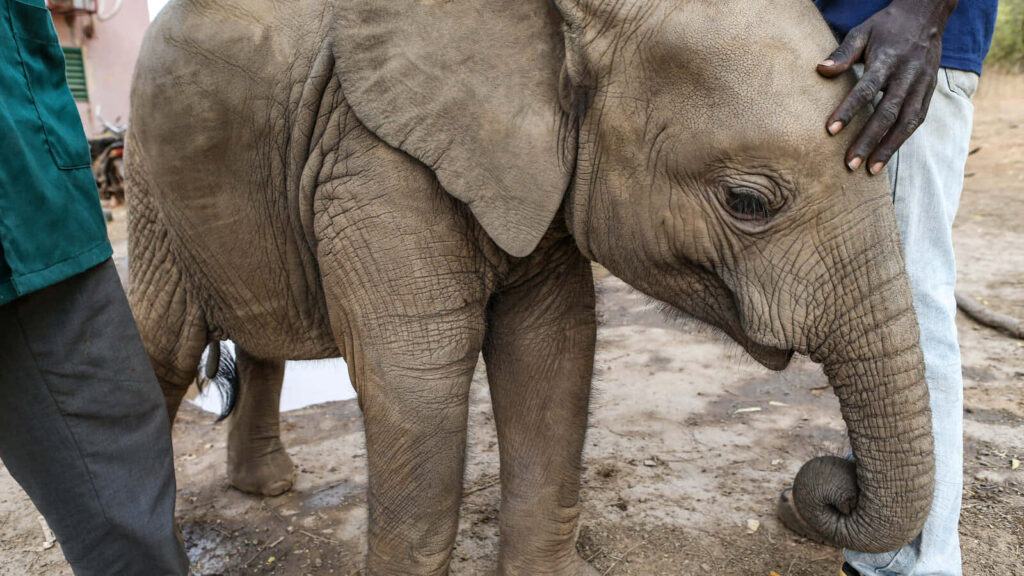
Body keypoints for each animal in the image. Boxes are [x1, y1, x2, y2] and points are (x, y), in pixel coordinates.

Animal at [126, 0, 935, 574]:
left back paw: (267, 489)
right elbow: (417, 378)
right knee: (162, 345)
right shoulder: (371, 155)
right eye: (748, 203)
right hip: (150, 180)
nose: (825, 485)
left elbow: (552, 347)